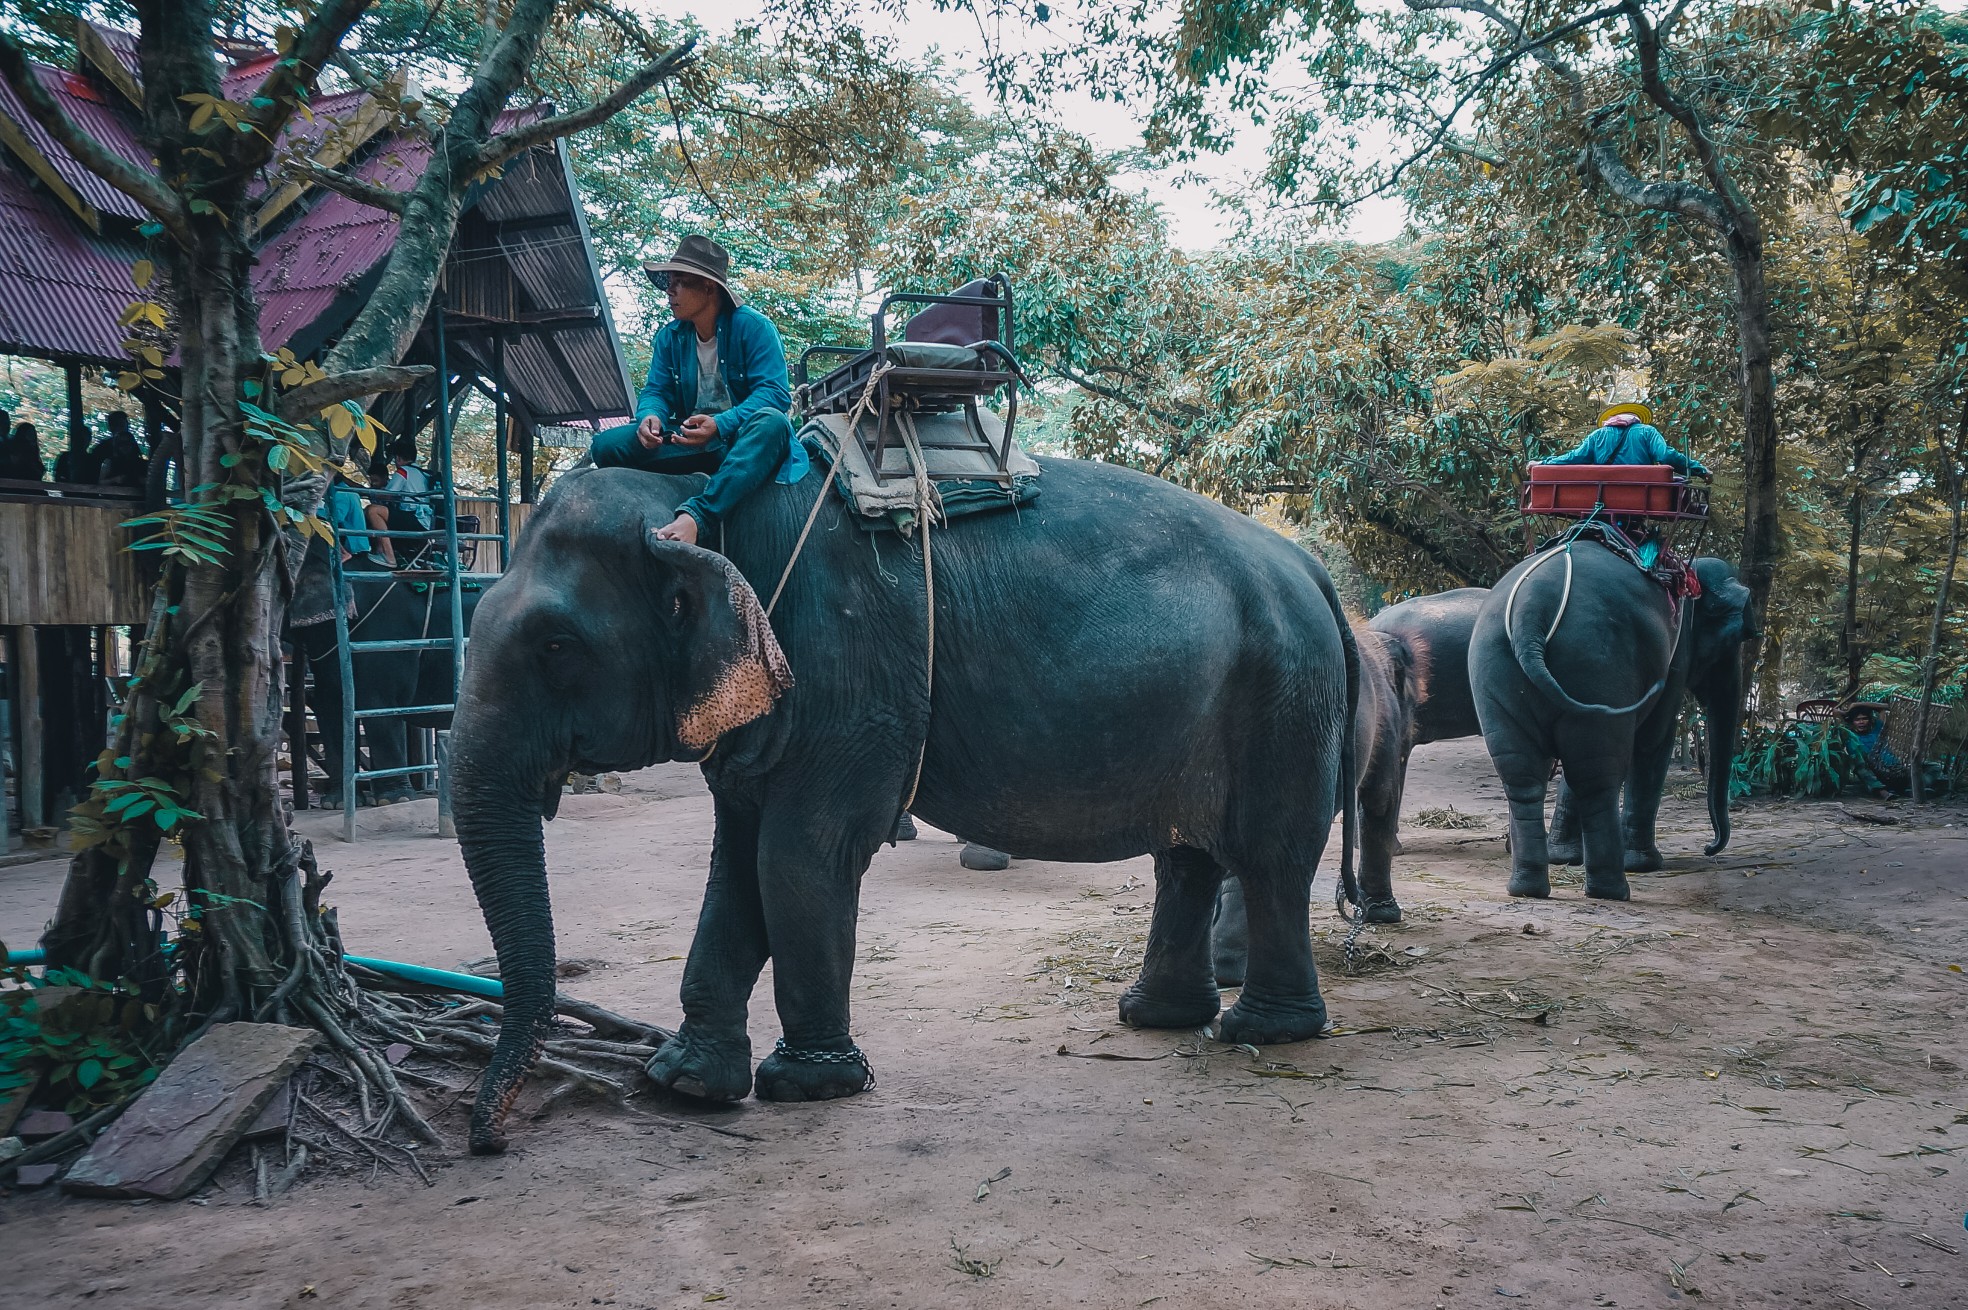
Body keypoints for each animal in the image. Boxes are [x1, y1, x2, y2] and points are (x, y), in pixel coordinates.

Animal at [452, 454, 1361, 1148]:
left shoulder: (850, 671)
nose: (488, 1139)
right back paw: (1156, 1018)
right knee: (1188, 856)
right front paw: (685, 1083)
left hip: (1285, 695)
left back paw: (1261, 1031)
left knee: (1271, 855)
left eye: (557, 645)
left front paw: (807, 1087)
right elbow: (737, 866)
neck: (703, 502)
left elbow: (799, 856)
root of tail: (1310, 568)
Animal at [1479, 546, 1755, 904]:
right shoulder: (1675, 654)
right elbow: (1654, 741)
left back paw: (1528, 889)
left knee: (1526, 777)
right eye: (1733, 640)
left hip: (1496, 671)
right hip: (1597, 665)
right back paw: (1613, 889)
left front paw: (1564, 857)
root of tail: (1529, 612)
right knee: (1598, 777)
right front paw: (1645, 864)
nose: (1709, 848)